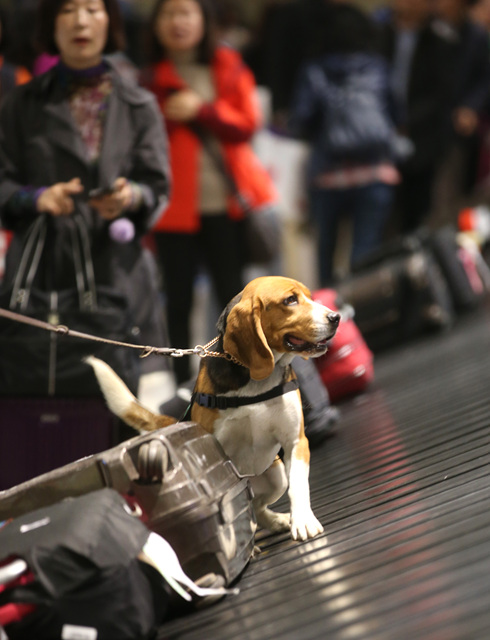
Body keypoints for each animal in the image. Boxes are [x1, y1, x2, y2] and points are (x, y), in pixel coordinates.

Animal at [87, 276, 340, 540]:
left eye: (309, 296)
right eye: (290, 300)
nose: (336, 317)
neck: (255, 382)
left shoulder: (295, 441)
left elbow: (298, 486)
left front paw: (303, 520)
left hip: (276, 475)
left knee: (257, 504)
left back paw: (277, 521)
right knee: (251, 505)